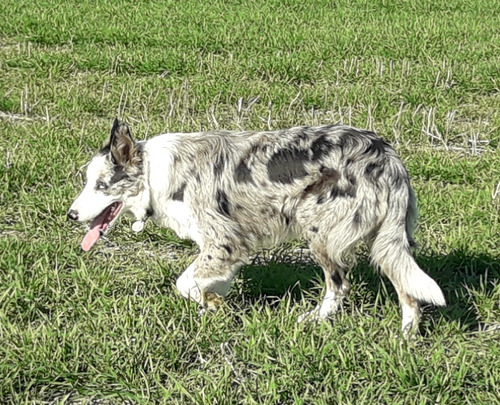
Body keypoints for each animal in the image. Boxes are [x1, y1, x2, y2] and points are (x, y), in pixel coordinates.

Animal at [67, 118, 446, 336]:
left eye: (101, 185)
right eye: (88, 182)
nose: (70, 215)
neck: (154, 174)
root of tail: (388, 156)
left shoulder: (224, 240)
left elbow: (184, 283)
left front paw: (213, 305)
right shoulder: (229, 248)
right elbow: (206, 282)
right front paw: (213, 303)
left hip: (319, 230)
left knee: (339, 286)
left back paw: (316, 319)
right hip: (383, 239)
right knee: (406, 287)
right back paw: (406, 337)